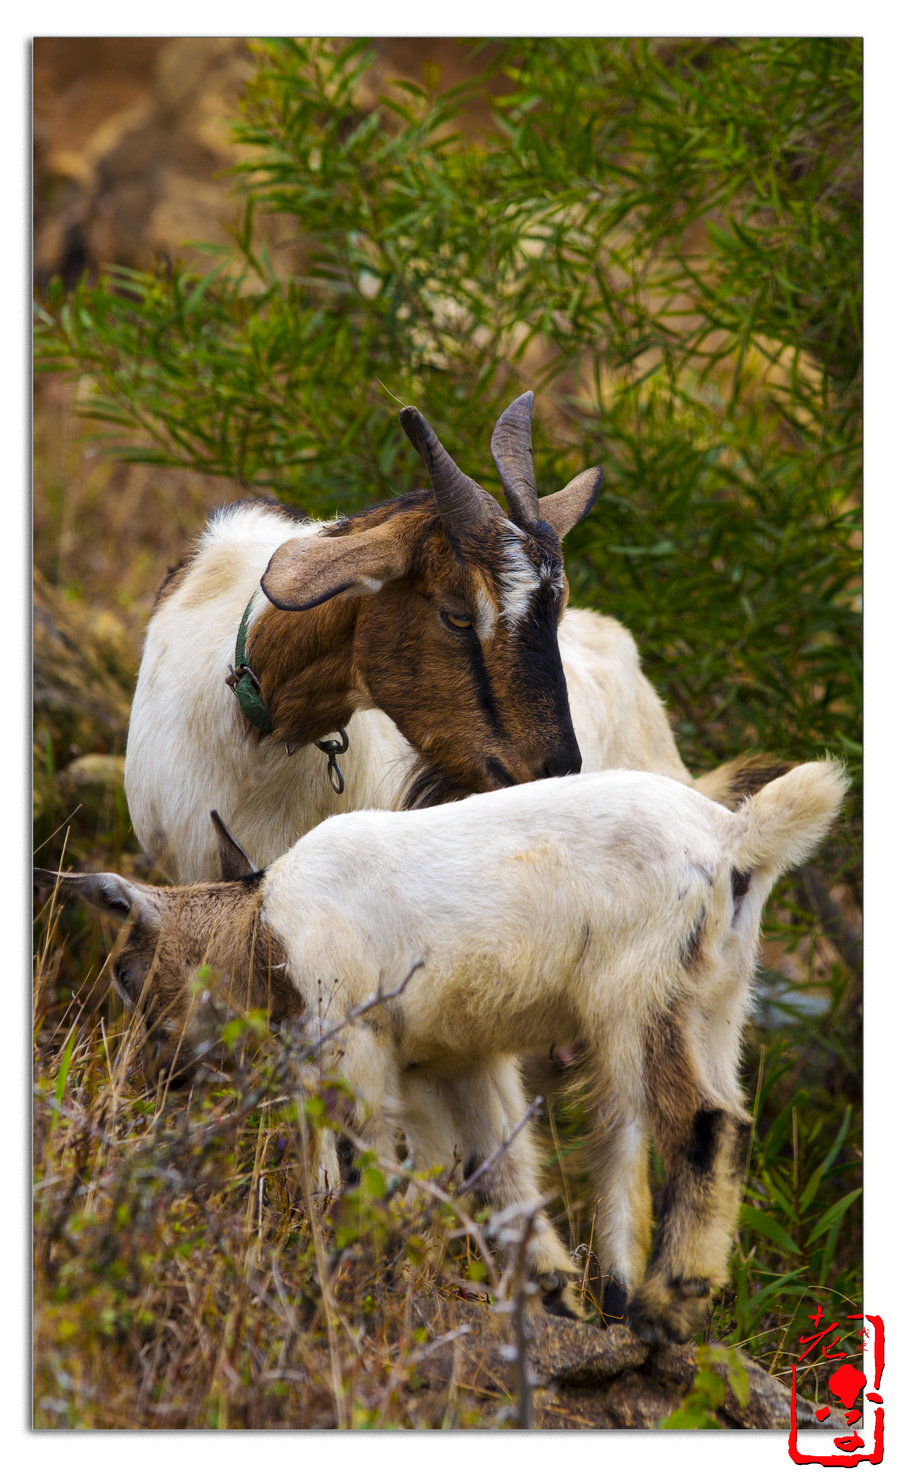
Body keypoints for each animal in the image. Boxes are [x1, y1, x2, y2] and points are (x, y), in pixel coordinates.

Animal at [37, 759, 854, 1348]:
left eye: (126, 971)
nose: (156, 1076)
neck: (264, 930)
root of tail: (732, 841)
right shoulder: (458, 1064)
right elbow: (501, 1174)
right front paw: (552, 1293)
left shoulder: (353, 1040)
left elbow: (362, 1161)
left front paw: (358, 1266)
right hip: (716, 1007)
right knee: (686, 1126)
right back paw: (628, 1302)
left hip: (640, 998)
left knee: (703, 1125)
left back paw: (665, 1309)